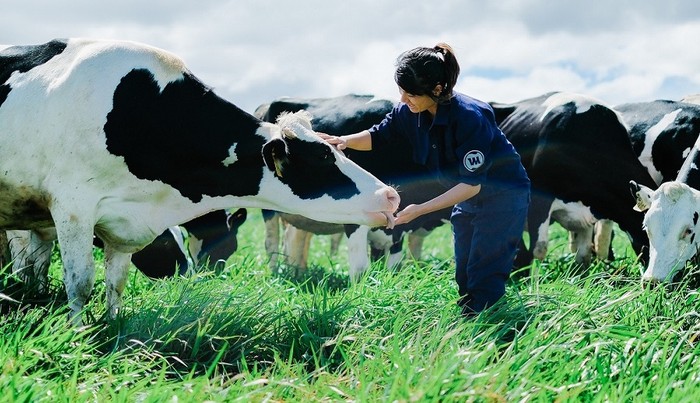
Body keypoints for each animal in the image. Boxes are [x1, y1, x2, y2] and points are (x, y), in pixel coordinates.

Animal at [0, 38, 400, 326]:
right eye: (324, 157)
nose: (391, 196)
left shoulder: (123, 222)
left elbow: (116, 281)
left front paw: (113, 327)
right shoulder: (73, 207)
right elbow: (80, 282)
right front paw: (80, 334)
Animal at [254, 94, 452, 280]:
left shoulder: (396, 229)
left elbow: (396, 266)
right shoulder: (358, 215)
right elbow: (360, 268)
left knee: (295, 242)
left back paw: (298, 275)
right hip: (270, 210)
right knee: (271, 243)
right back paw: (275, 277)